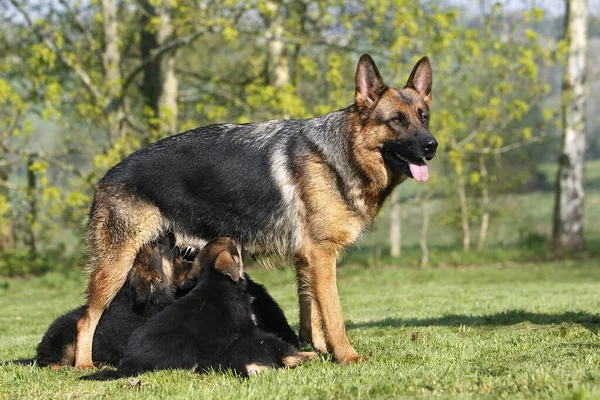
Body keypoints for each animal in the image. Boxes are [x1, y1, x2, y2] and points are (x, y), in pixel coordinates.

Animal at [82, 238, 316, 382]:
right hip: (183, 345)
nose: (240, 237)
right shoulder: (247, 328)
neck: (216, 280)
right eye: (234, 244)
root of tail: (126, 365)